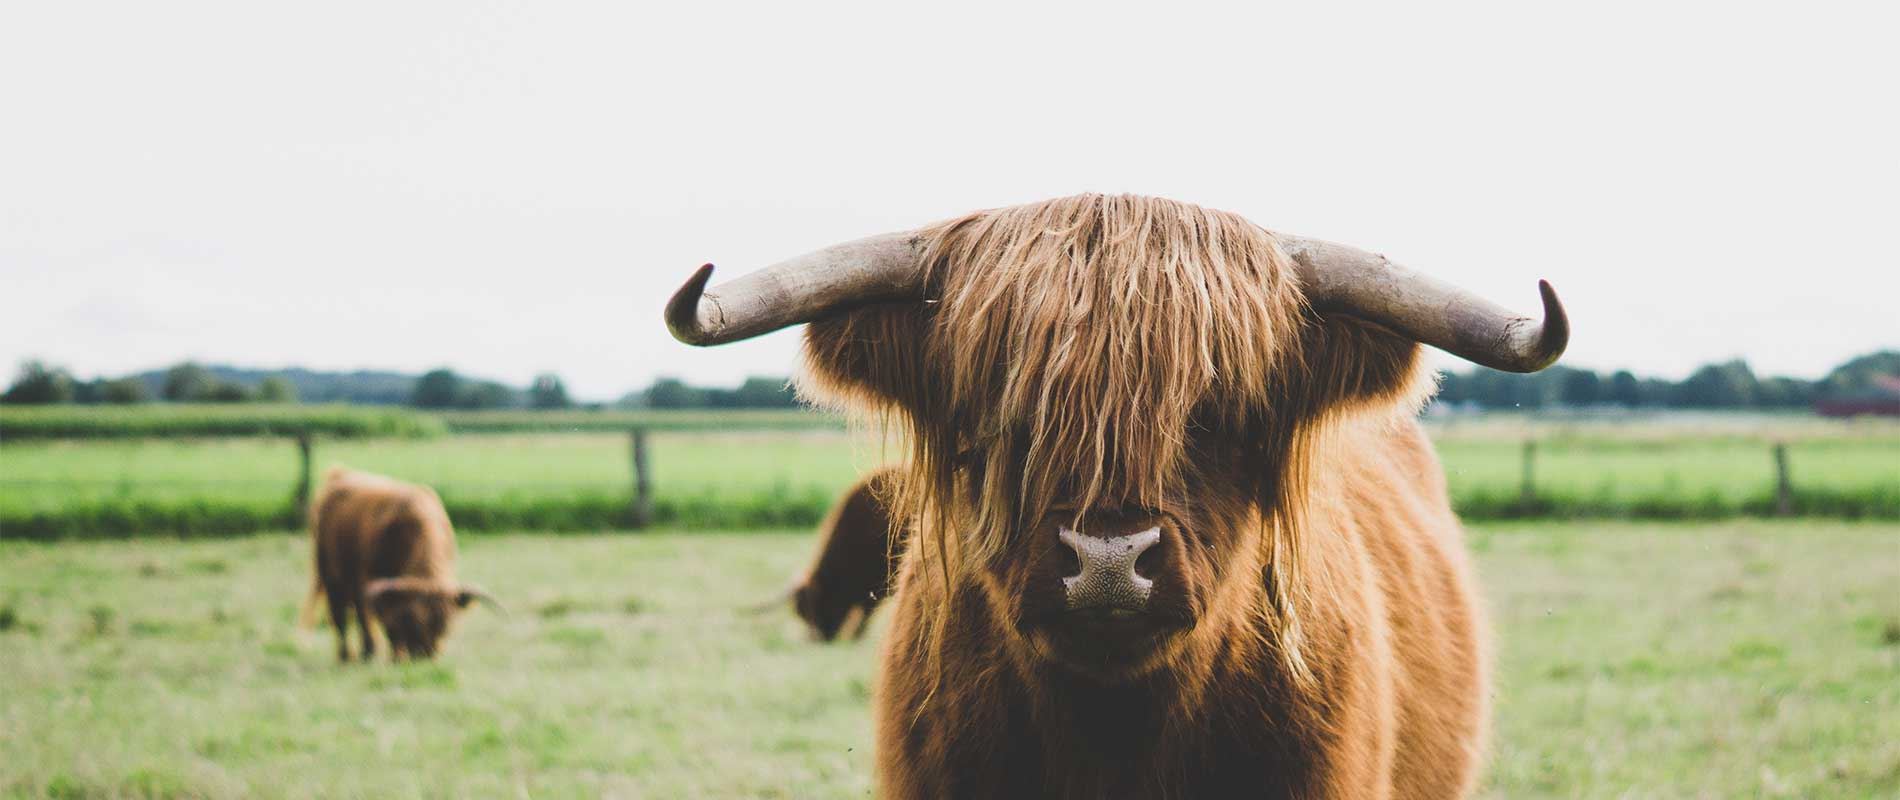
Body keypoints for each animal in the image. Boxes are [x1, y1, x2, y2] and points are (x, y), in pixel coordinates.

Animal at [300, 463, 501, 657]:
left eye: (444, 627)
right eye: (413, 622)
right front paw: (396, 657)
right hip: (330, 575)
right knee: (341, 615)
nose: (423, 655)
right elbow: (388, 625)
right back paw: (349, 655)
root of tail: (339, 474)